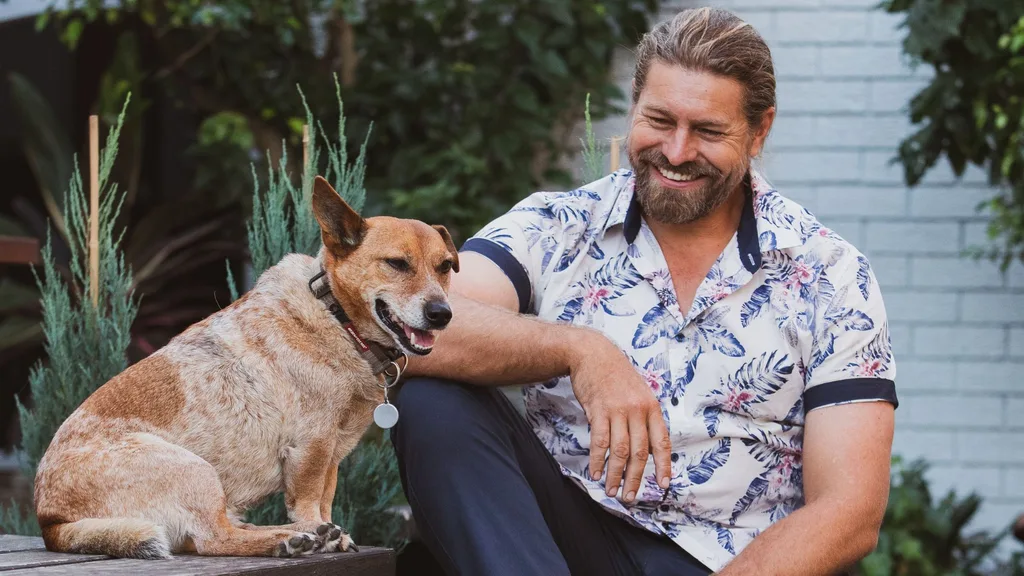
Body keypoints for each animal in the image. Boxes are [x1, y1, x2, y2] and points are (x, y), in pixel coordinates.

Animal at [30, 176, 460, 557]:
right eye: (396, 264)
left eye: (444, 266)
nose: (442, 314)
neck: (337, 319)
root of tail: (51, 522)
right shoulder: (311, 448)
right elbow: (308, 502)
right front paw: (319, 531)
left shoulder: (332, 455)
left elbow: (325, 501)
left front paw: (331, 532)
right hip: (194, 469)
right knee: (212, 538)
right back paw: (287, 539)